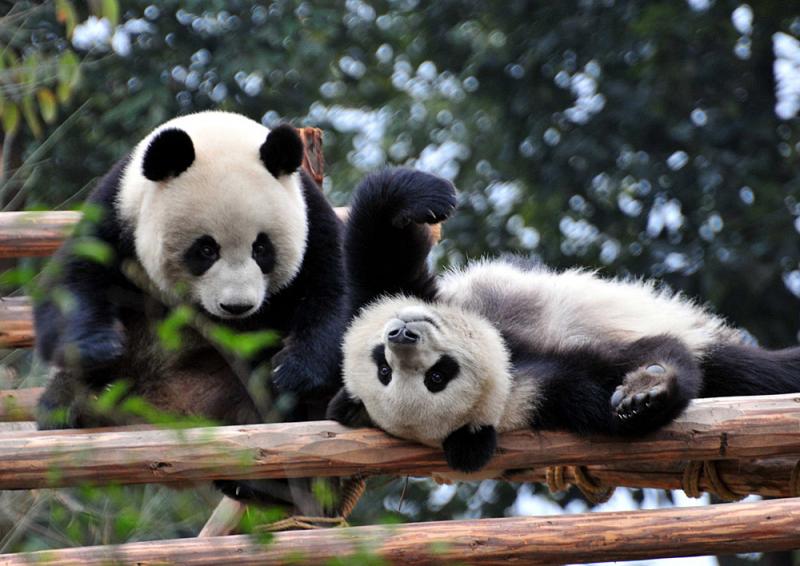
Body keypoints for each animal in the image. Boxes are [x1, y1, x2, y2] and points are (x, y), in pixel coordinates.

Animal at [328, 172, 800, 474]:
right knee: (750, 371)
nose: (401, 334)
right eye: (435, 378)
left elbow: (375, 248)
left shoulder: (390, 292)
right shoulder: (543, 394)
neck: (507, 356)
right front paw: (645, 394)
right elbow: (629, 373)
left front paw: (423, 197)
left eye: (381, 365)